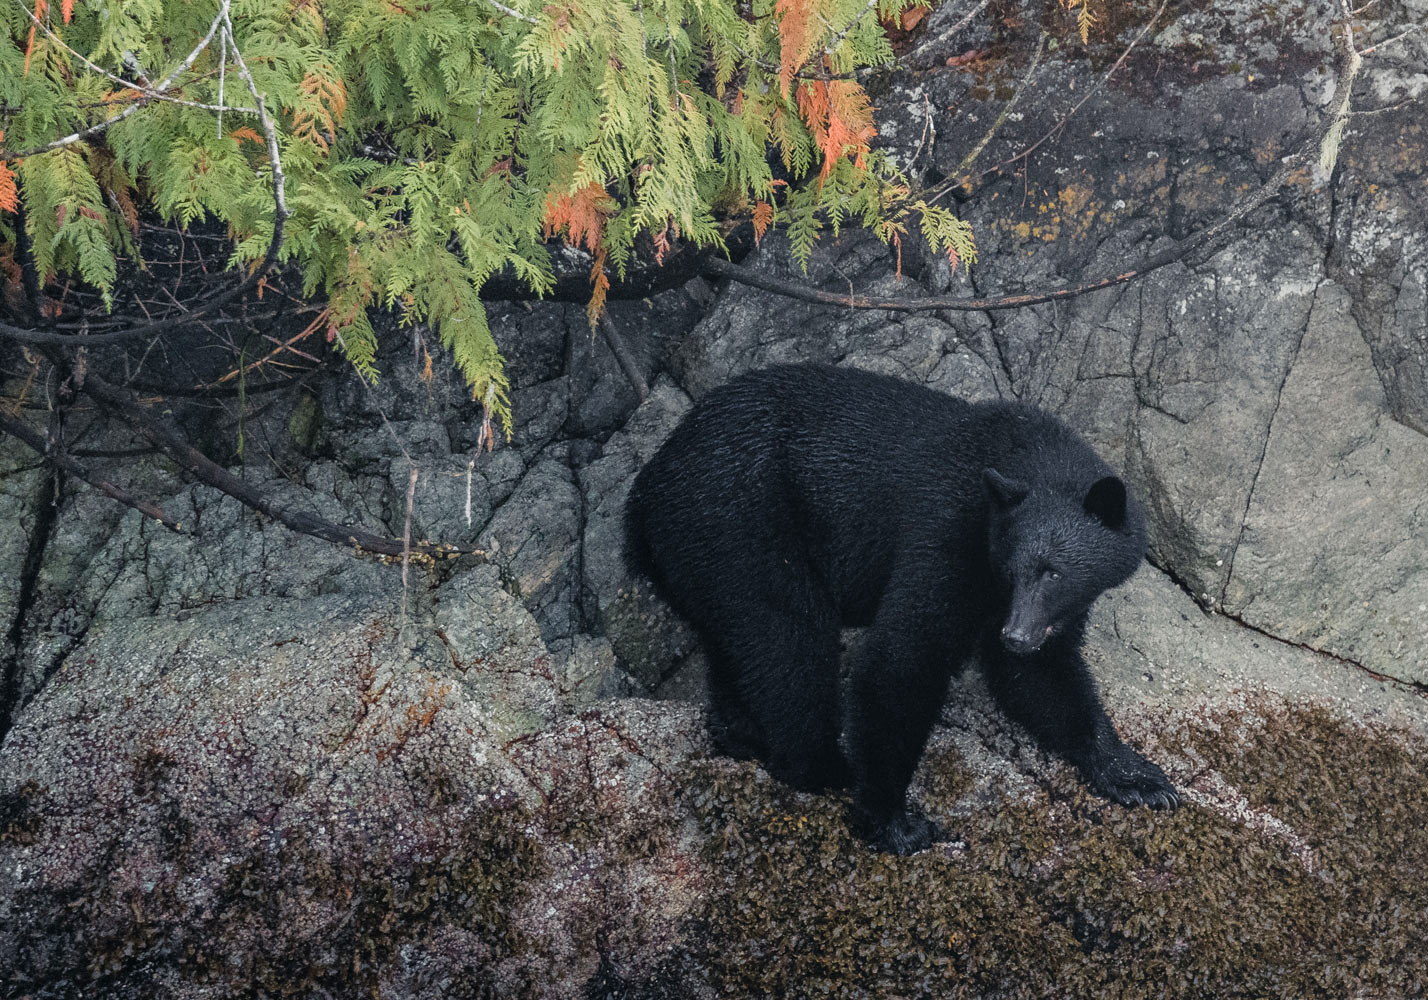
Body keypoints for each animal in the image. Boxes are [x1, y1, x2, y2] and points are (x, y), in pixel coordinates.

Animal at [622, 365, 1170, 851]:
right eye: (1013, 570)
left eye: (1052, 572)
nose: (1016, 636)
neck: (1017, 450)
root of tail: (646, 489)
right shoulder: (949, 530)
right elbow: (905, 655)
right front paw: (893, 820)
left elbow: (1041, 677)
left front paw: (1135, 776)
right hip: (740, 522)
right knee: (789, 637)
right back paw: (822, 764)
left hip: (702, 557)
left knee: (736, 640)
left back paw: (740, 732)